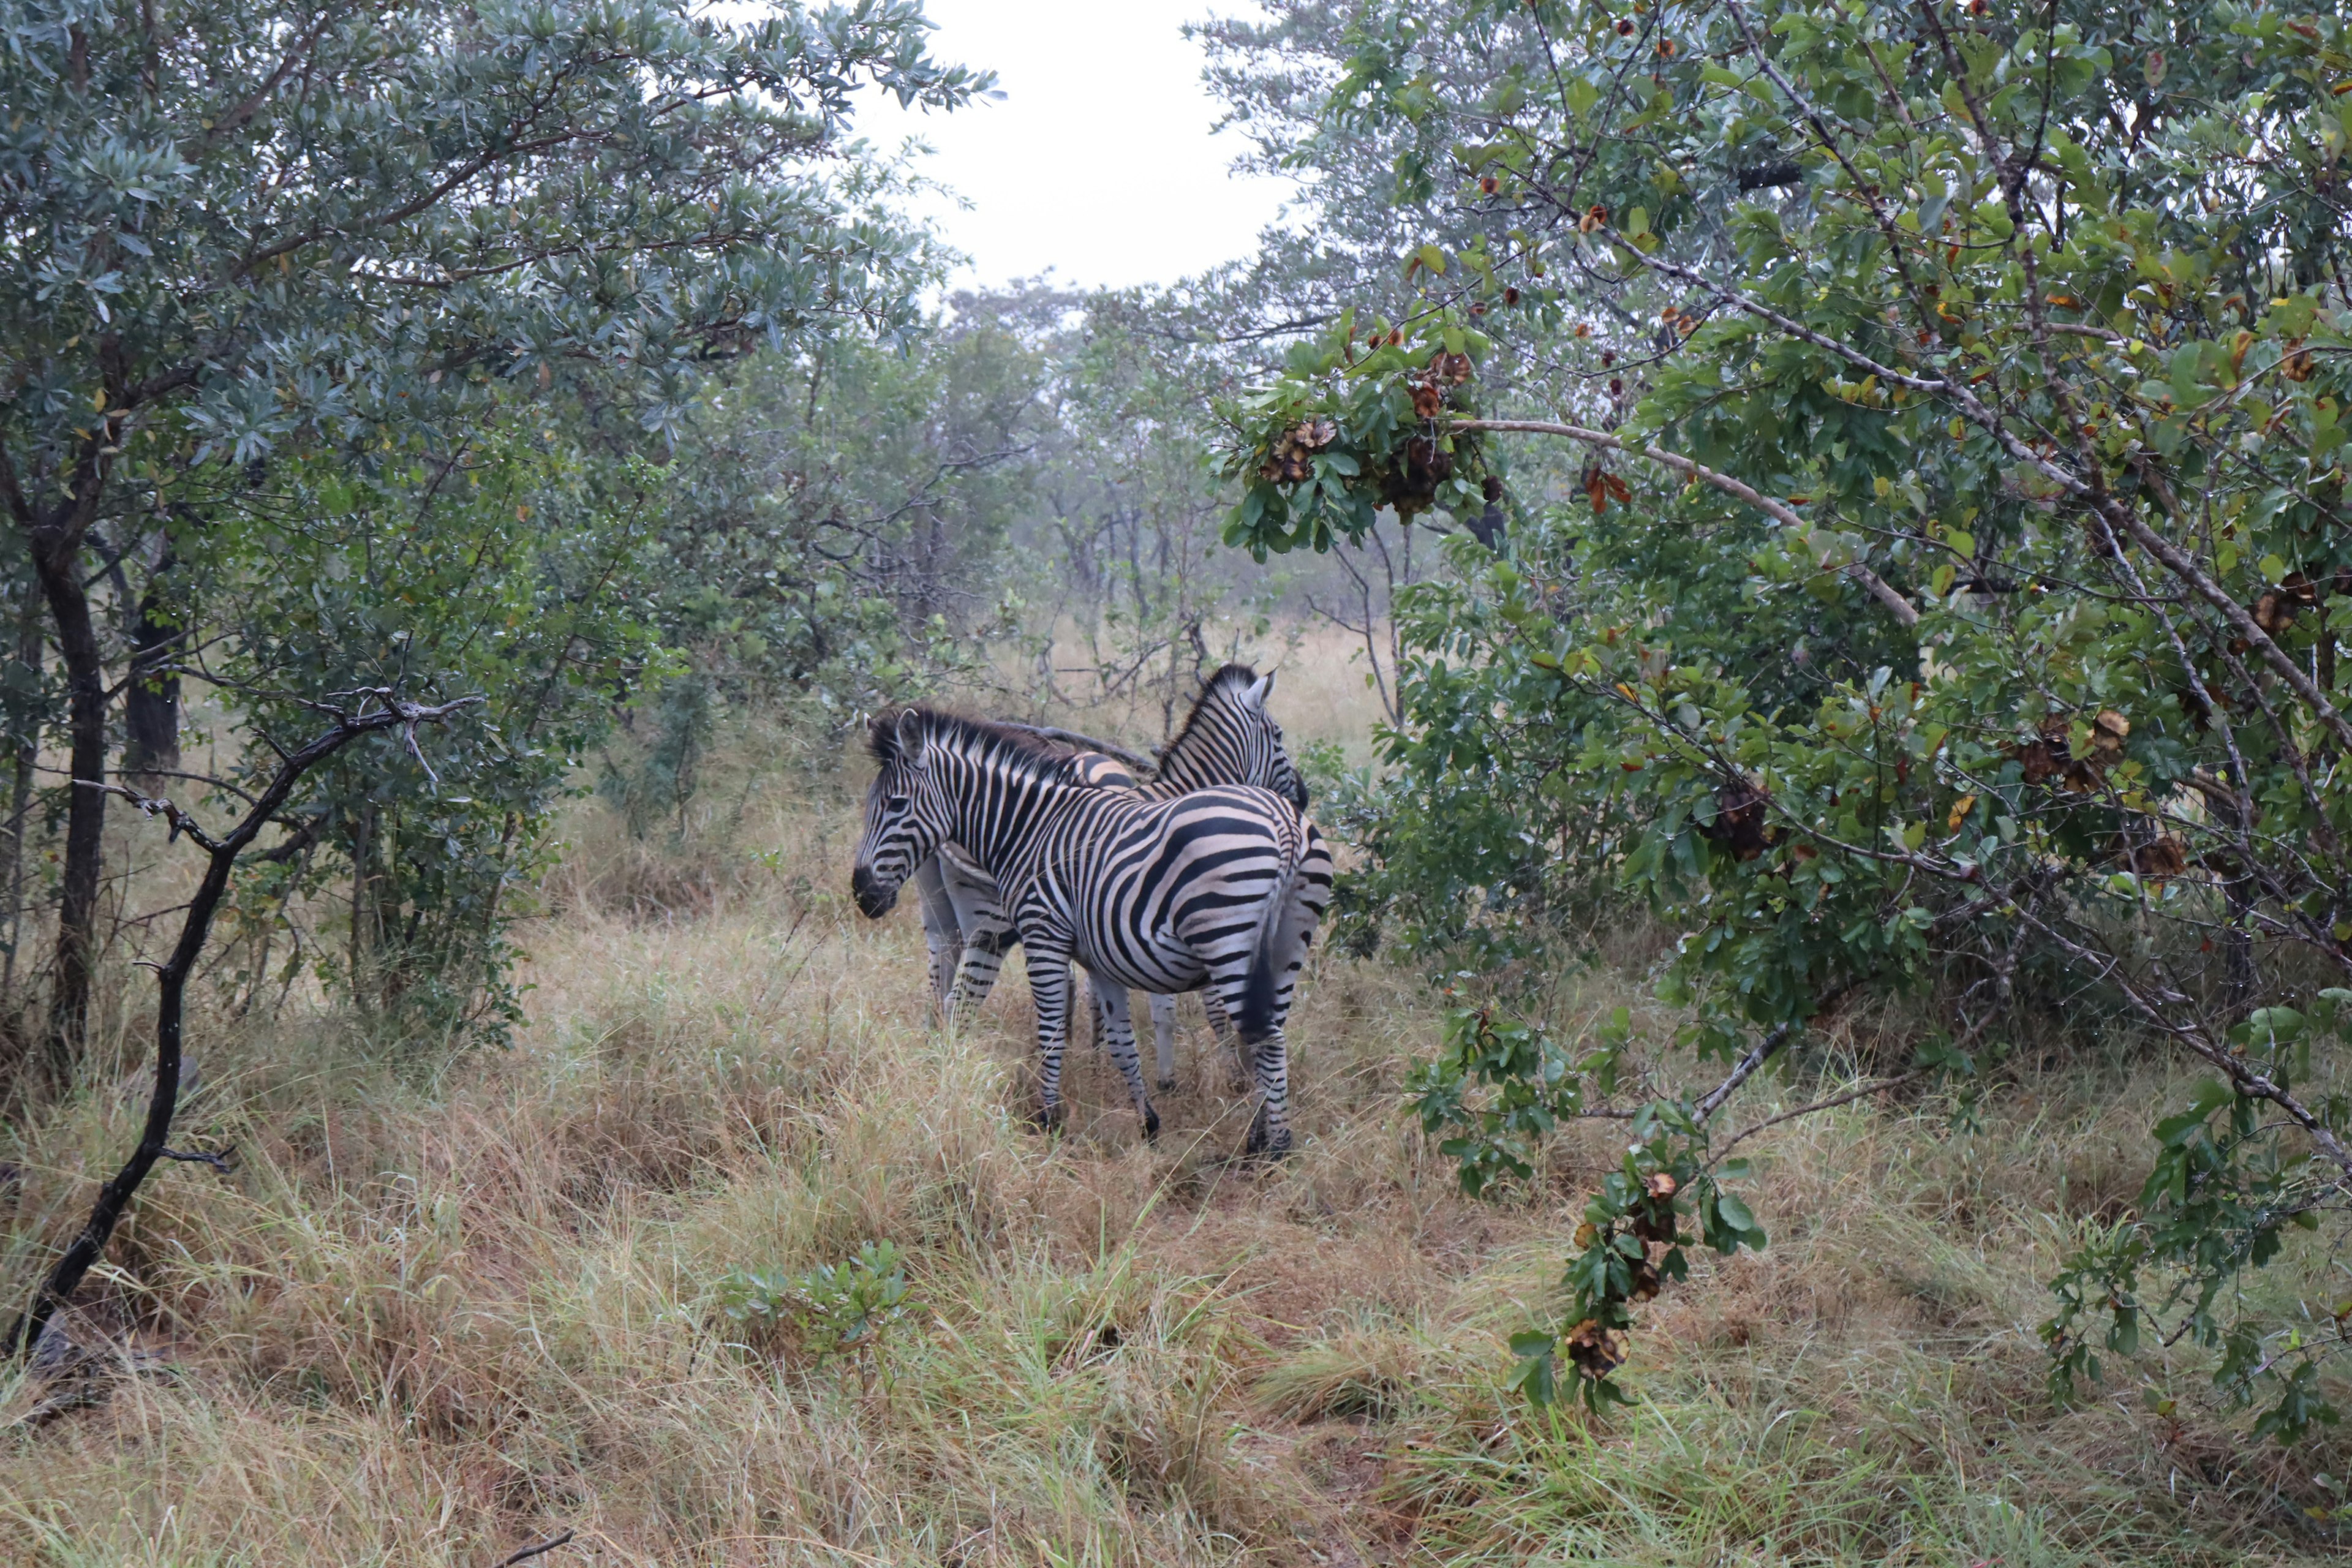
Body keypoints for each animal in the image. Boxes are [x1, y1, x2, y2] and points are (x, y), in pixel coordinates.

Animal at [851, 710, 1336, 1152]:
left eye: (896, 804)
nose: (862, 894)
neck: (1027, 831)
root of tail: (1285, 823)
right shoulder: (1101, 955)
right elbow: (1122, 1042)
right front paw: (1147, 1122)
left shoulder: (1044, 932)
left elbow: (1051, 1031)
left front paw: (1049, 1120)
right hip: (1285, 945)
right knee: (1267, 1036)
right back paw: (1264, 1138)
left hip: (1228, 942)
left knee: (1264, 1039)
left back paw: (1272, 1147)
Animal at [908, 668, 1308, 1090]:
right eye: (1278, 735)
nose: (1304, 797)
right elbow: (1195, 1008)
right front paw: (1220, 1078)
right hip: (993, 923)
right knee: (961, 1001)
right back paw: (954, 1075)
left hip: (939, 913)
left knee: (940, 984)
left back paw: (937, 1063)